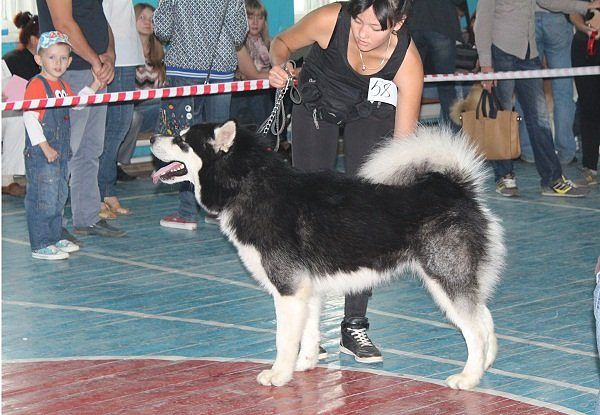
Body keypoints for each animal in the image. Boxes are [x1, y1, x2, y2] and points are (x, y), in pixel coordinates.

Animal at [150, 122, 502, 392]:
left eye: (182, 140)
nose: (153, 138)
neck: (247, 184)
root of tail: (456, 189)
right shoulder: (308, 291)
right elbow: (308, 335)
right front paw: (304, 365)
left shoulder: (288, 290)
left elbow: (284, 339)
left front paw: (279, 374)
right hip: (459, 280)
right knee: (485, 319)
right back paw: (485, 365)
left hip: (445, 280)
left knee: (475, 329)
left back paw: (468, 377)